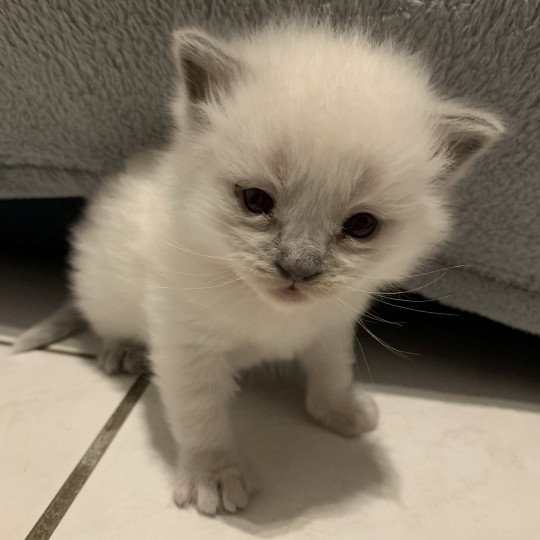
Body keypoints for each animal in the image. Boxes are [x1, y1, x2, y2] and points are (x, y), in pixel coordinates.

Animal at [13, 22, 502, 516]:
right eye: (255, 201)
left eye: (361, 226)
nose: (297, 269)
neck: (269, 311)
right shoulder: (187, 346)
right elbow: (202, 417)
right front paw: (213, 477)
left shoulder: (331, 325)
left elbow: (332, 372)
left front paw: (341, 411)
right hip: (104, 293)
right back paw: (122, 351)